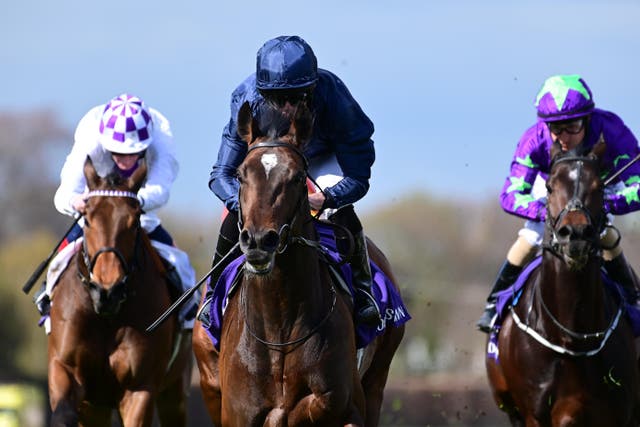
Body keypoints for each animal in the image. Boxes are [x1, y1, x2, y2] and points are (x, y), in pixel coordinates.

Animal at [47, 158, 190, 427]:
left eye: (134, 223)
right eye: (87, 219)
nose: (107, 291)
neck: (106, 318)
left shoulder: (140, 387)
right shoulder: (66, 370)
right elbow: (63, 414)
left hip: (175, 390)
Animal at [191, 102, 404, 426]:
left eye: (296, 176)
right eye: (240, 175)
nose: (259, 240)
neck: (278, 327)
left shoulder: (348, 407)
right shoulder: (238, 415)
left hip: (377, 379)